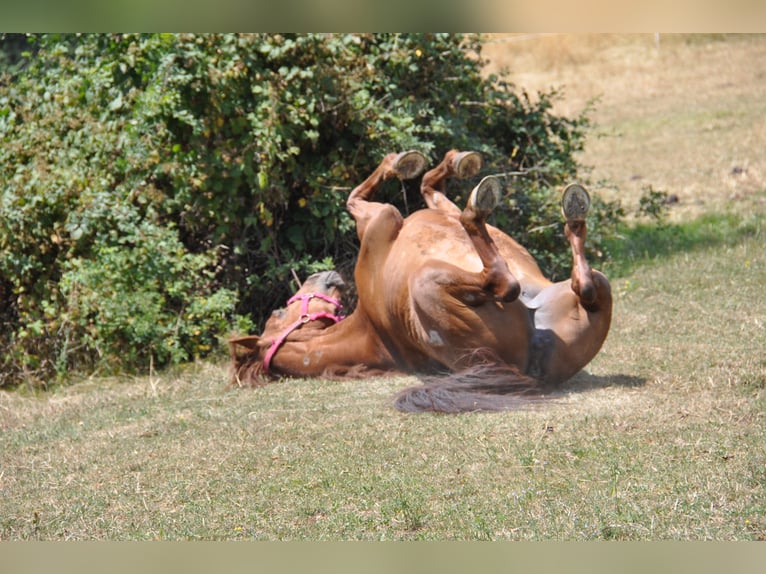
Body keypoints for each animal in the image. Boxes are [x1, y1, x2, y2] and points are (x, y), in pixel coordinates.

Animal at [229, 150, 612, 412]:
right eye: (278, 313)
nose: (320, 275)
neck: (371, 326)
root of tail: (534, 370)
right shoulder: (381, 217)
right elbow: (357, 198)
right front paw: (405, 163)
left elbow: (425, 187)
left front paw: (445, 162)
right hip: (428, 282)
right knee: (506, 282)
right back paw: (482, 208)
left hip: (594, 289)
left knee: (586, 285)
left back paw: (573, 212)